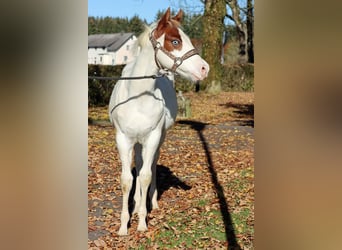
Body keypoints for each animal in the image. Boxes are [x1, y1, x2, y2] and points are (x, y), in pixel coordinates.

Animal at [108, 6, 210, 235]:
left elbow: (146, 175)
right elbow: (127, 179)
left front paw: (142, 222)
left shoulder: (153, 136)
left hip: (158, 137)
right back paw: (138, 203)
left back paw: (150, 203)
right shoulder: (123, 139)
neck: (137, 97)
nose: (204, 69)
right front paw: (123, 226)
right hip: (137, 141)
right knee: (138, 164)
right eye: (175, 41)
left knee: (151, 165)